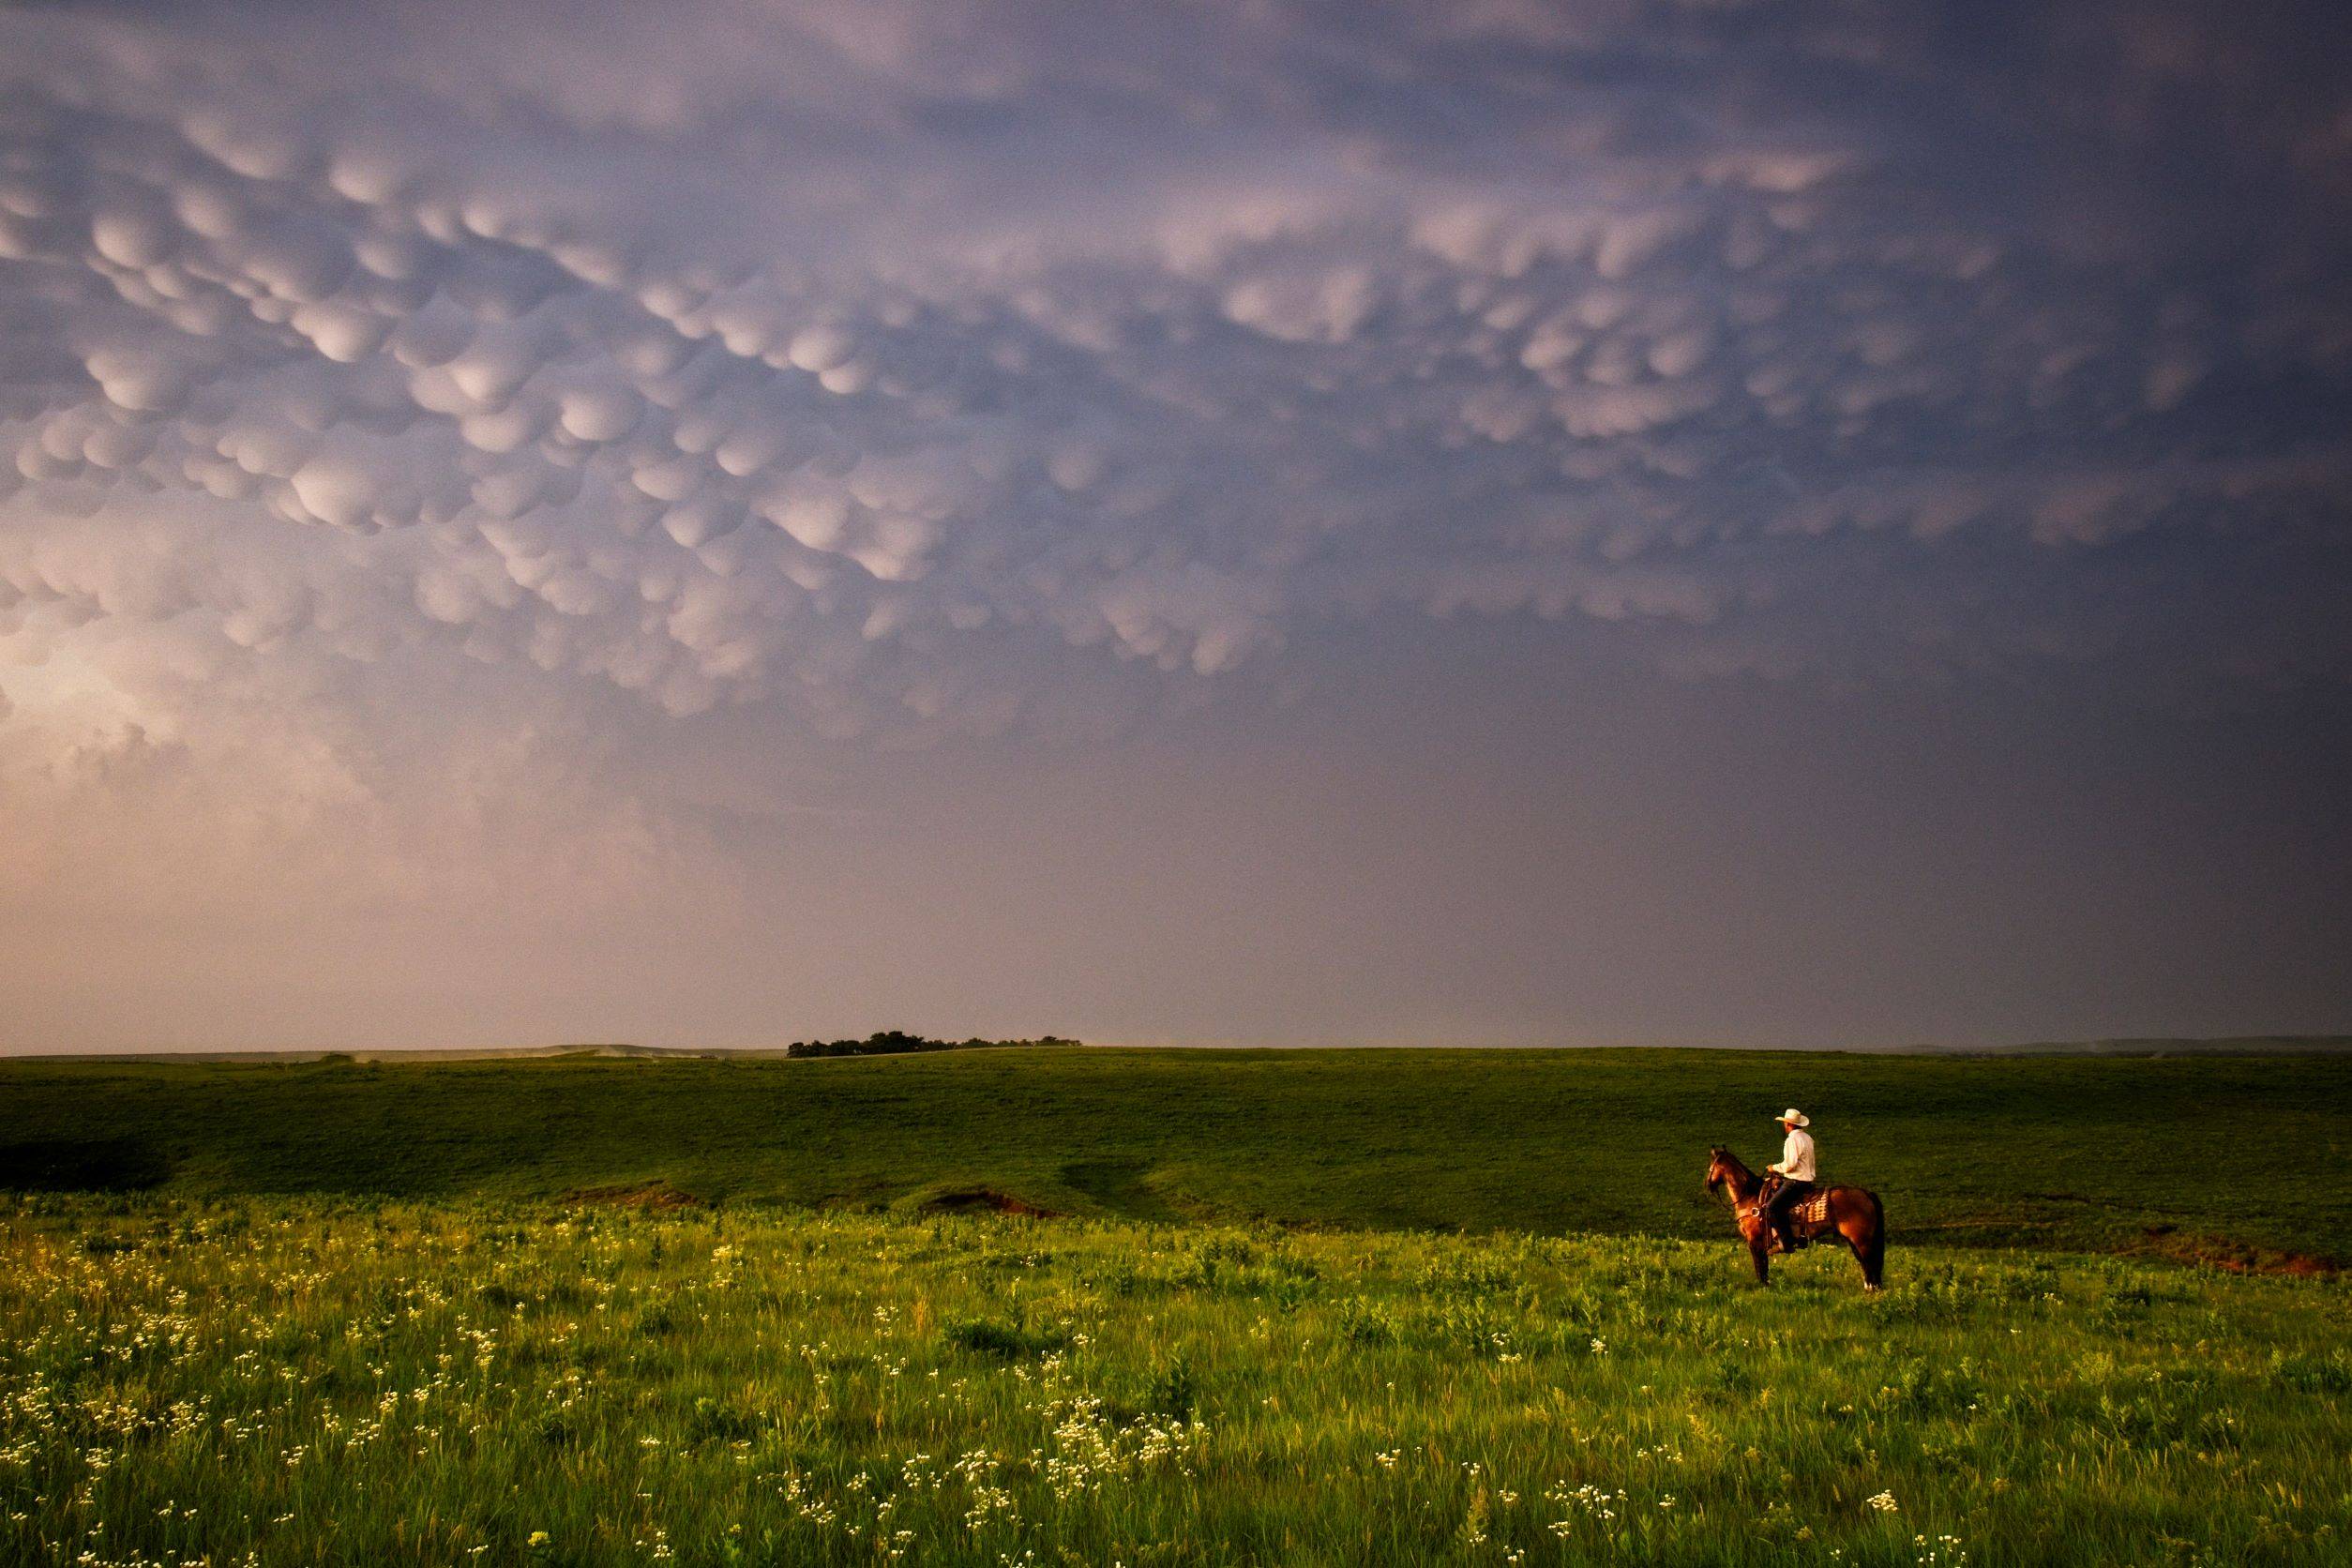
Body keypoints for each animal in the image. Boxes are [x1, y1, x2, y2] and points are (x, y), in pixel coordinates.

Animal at [1702, 1147, 1881, 1297]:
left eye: (1711, 1166)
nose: (1707, 1184)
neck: (1750, 1196)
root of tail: (1866, 1193)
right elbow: (1764, 1266)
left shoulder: (1754, 1241)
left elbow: (1760, 1266)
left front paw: (1763, 1287)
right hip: (1853, 1240)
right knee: (1866, 1263)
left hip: (1862, 1240)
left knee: (1870, 1262)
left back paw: (1873, 1290)